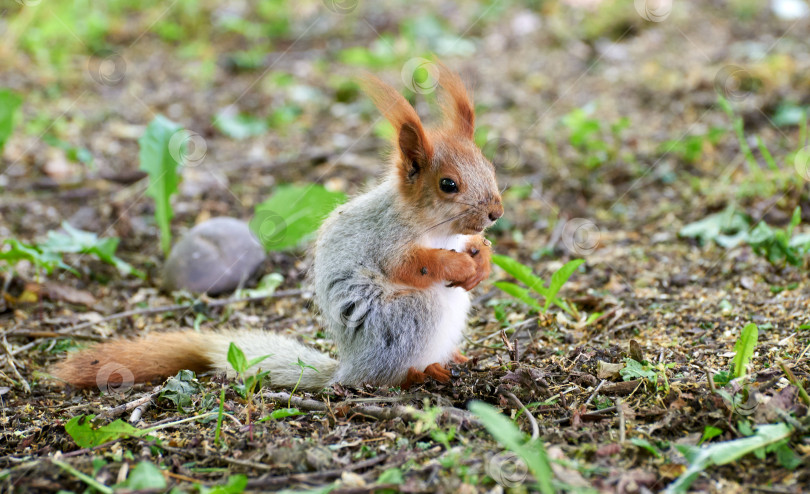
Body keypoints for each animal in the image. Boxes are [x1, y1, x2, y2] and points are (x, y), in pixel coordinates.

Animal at [52, 63, 498, 392]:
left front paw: (481, 257)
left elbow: (470, 246)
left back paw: (454, 358)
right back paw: (422, 372)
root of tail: (348, 368)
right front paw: (458, 265)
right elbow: (411, 266)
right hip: (409, 319)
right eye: (448, 185)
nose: (496, 212)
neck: (435, 228)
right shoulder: (386, 241)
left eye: (489, 165)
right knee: (388, 376)